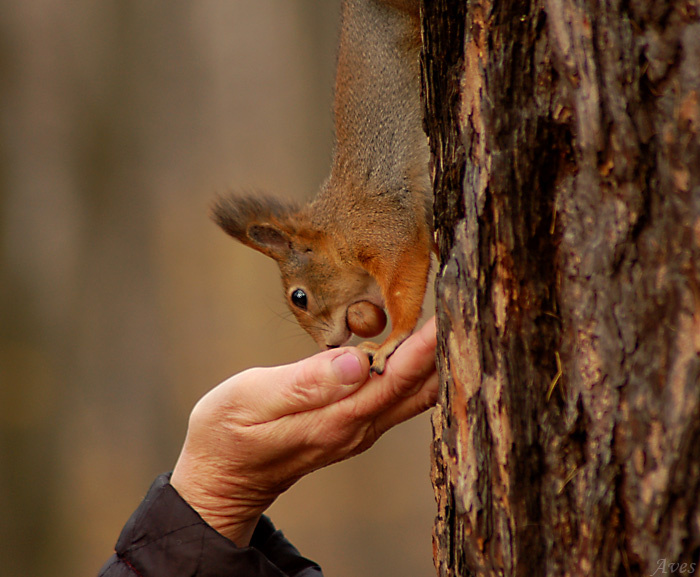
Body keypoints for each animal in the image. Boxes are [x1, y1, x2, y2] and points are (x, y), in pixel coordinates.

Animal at [212, 0, 433, 374]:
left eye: (299, 297)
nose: (327, 346)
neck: (336, 229)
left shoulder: (384, 228)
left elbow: (404, 281)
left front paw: (388, 343)